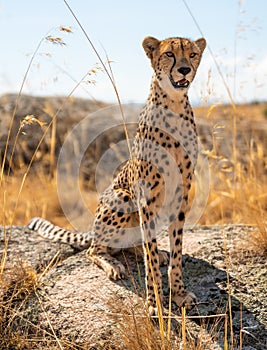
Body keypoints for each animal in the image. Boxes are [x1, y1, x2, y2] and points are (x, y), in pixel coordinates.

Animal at [27, 35, 207, 314]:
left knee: (135, 244)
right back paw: (113, 265)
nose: (185, 69)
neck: (174, 105)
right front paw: (154, 302)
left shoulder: (181, 193)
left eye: (193, 54)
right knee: (94, 249)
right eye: (169, 54)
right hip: (121, 196)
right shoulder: (146, 196)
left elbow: (176, 249)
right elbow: (150, 257)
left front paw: (178, 292)